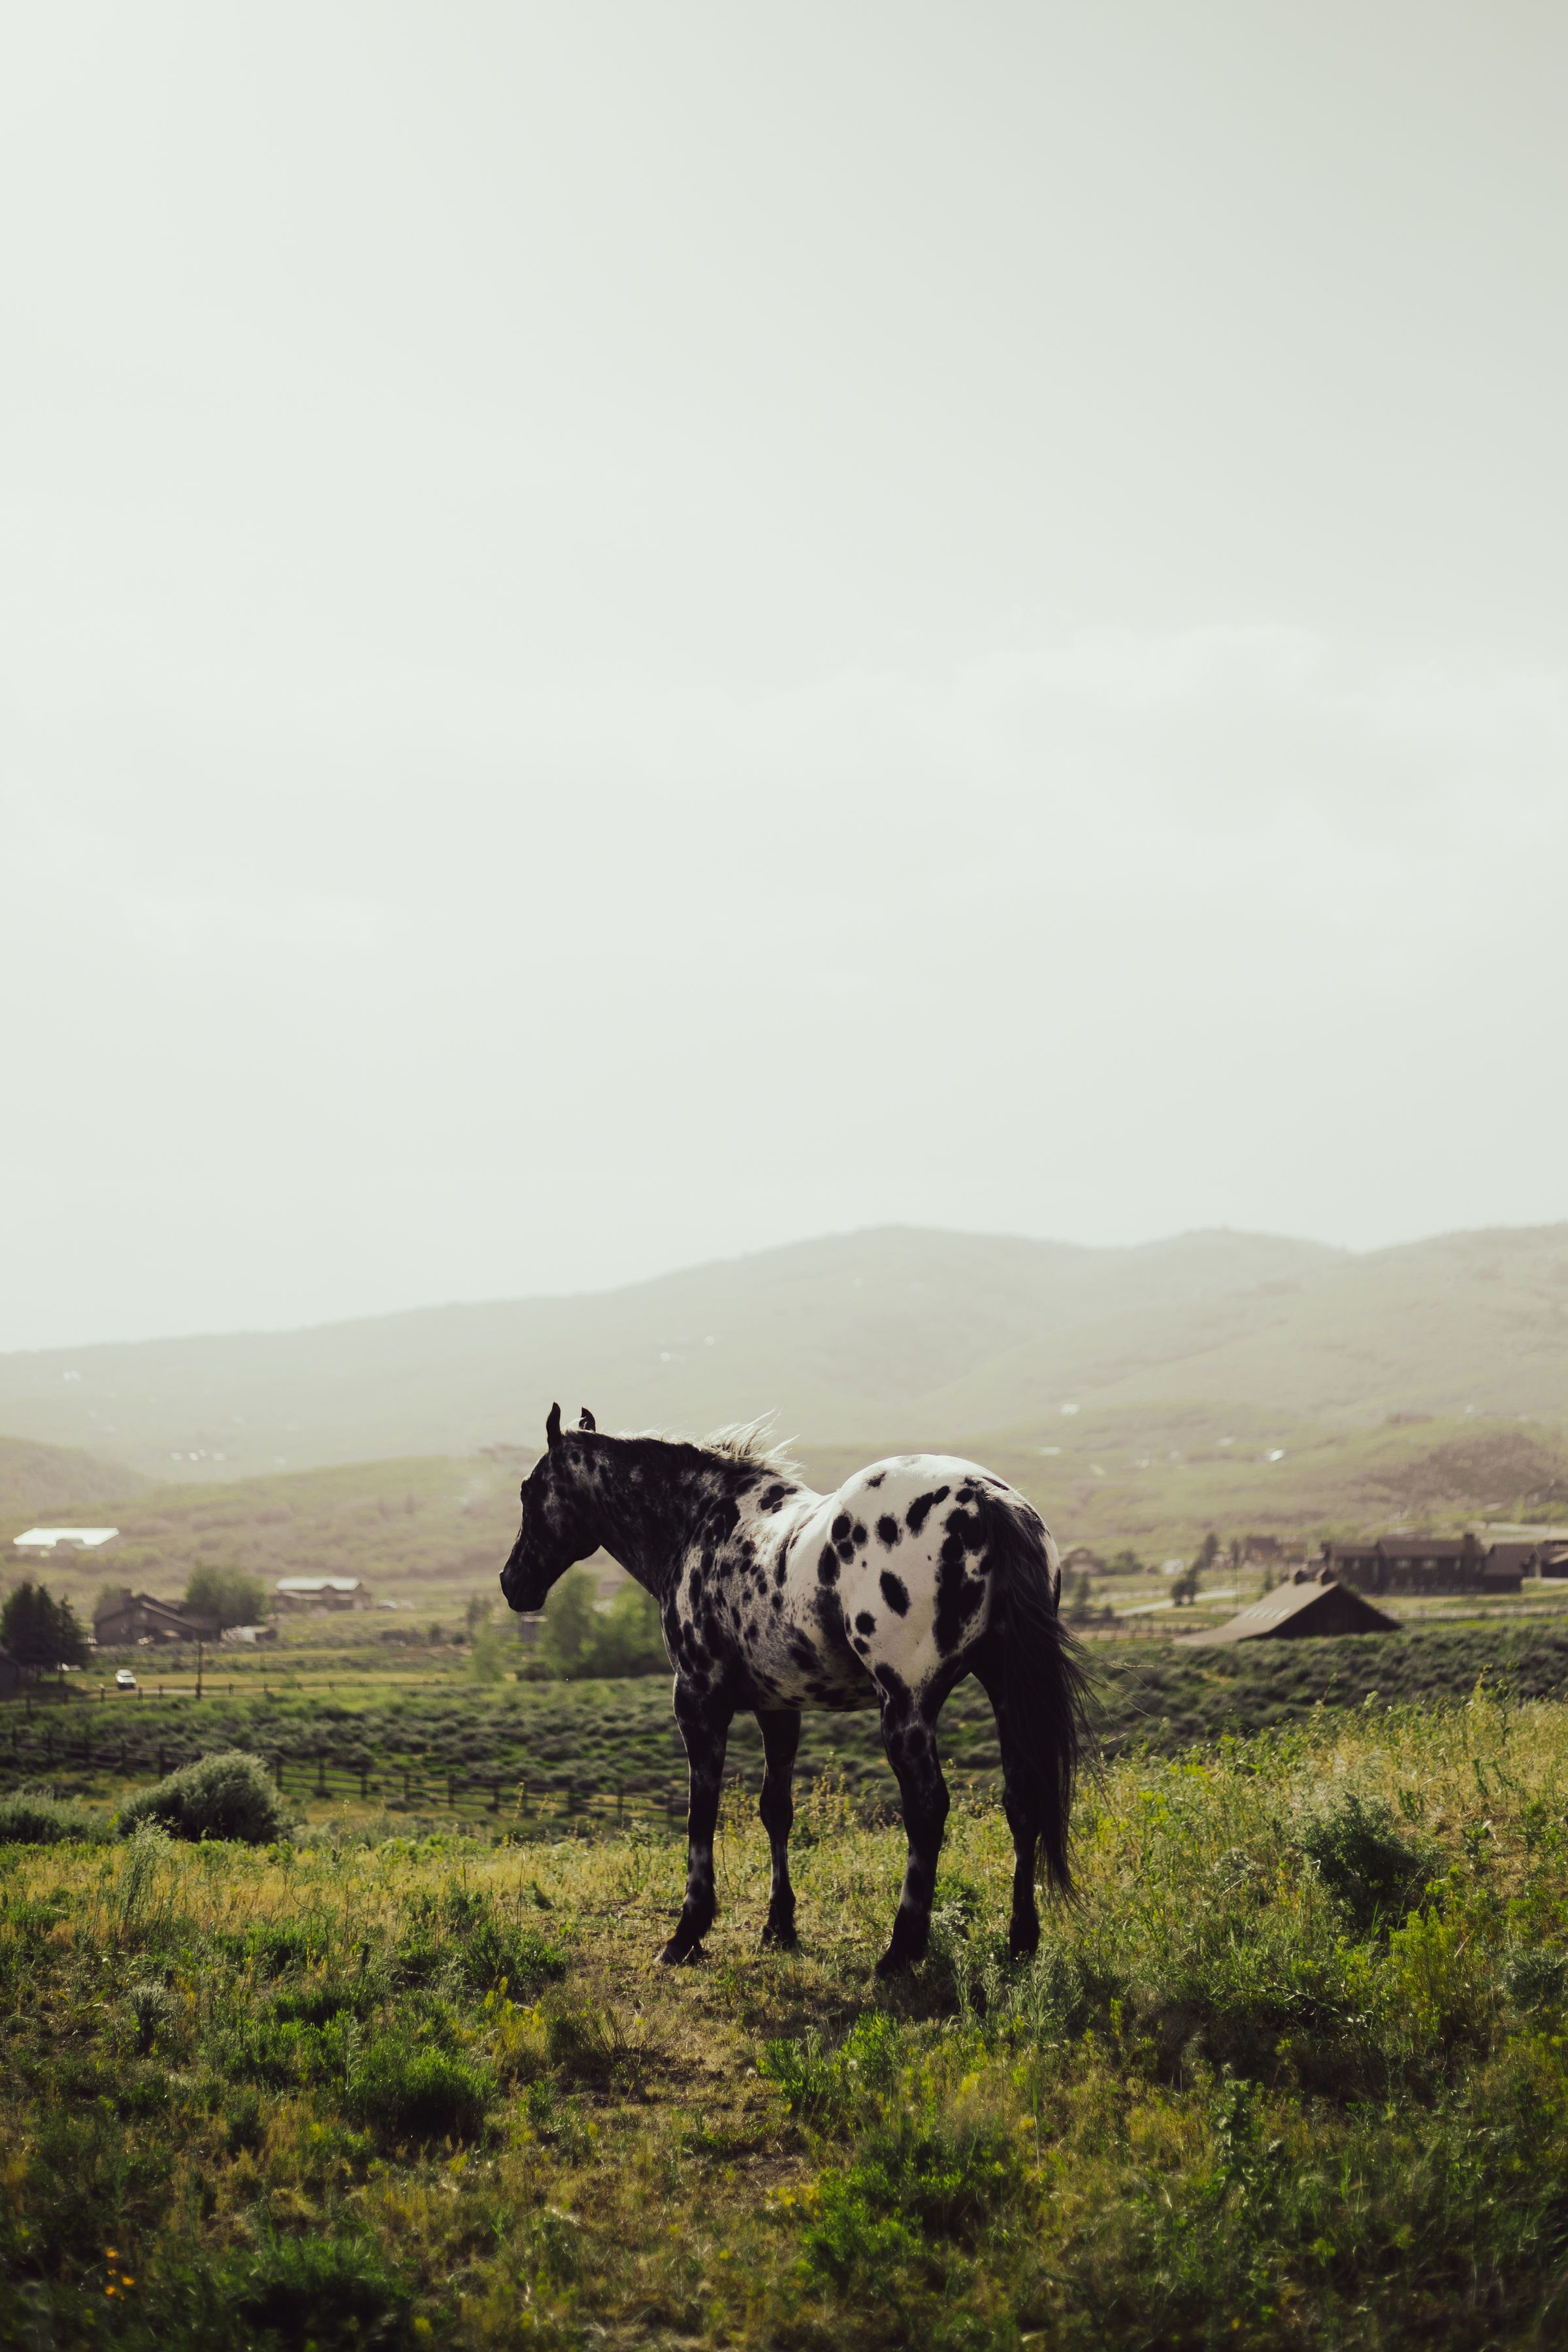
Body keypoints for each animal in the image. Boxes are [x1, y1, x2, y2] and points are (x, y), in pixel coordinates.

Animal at [499, 1405, 1088, 1975]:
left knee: (927, 1807)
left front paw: (687, 1935)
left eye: (529, 1490)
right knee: (1022, 1799)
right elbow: (775, 1809)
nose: (512, 1583)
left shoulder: (698, 1703)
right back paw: (1020, 1942)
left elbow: (700, 1814)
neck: (699, 1526)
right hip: (1005, 1688)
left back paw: (900, 1951)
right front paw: (779, 1927)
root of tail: (985, 1498)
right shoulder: (779, 1710)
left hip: (907, 1707)